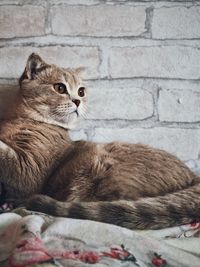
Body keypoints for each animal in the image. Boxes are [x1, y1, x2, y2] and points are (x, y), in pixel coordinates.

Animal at [0, 54, 199, 230]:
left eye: (81, 91)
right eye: (60, 88)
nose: (77, 101)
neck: (23, 121)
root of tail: (193, 176)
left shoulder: (28, 172)